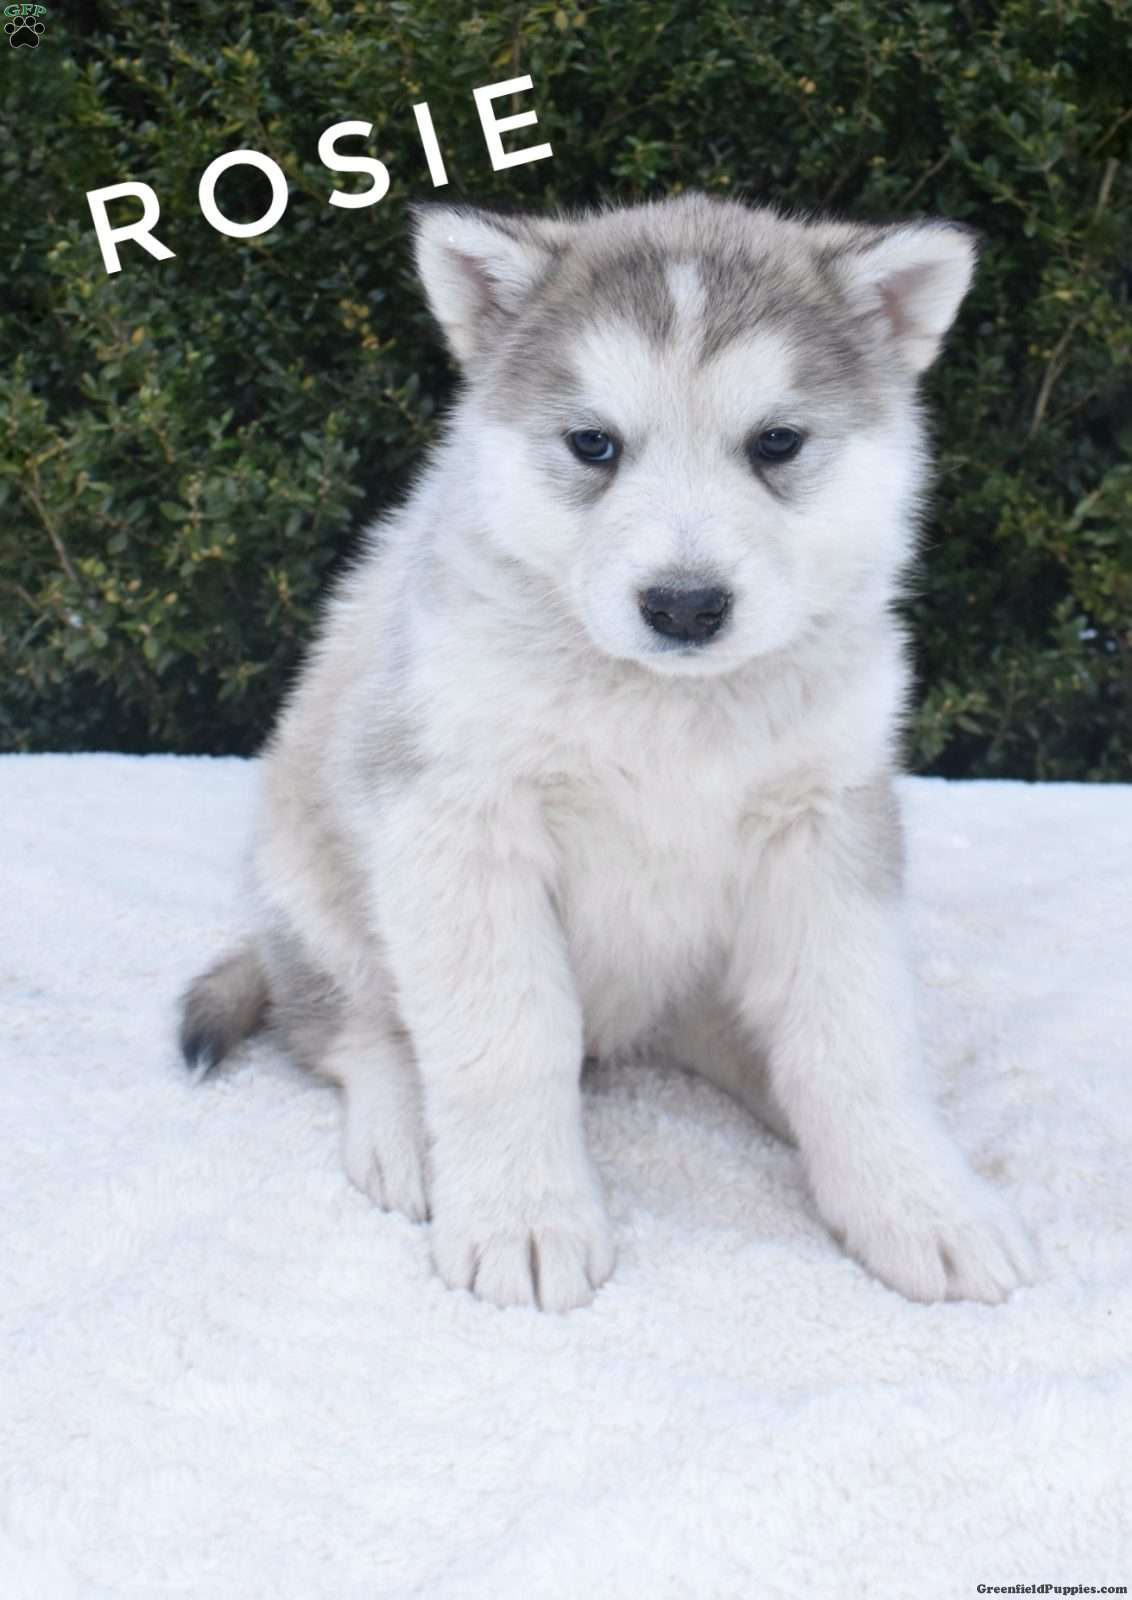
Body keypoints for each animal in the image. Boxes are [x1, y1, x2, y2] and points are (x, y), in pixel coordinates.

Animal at [179, 192, 1038, 1313]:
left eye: (777, 443)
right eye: (593, 444)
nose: (684, 605)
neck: (666, 707)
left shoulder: (826, 823)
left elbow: (855, 1041)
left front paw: (920, 1202)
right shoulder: (461, 822)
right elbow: (506, 1035)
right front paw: (524, 1217)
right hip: (317, 885)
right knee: (350, 1026)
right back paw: (407, 1132)